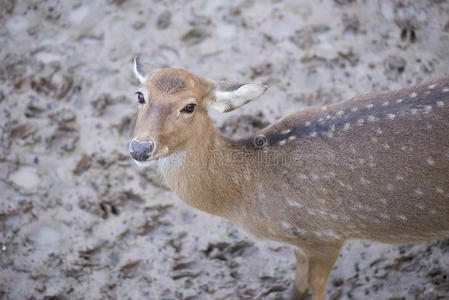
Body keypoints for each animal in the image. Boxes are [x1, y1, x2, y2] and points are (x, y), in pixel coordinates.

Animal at [129, 56, 448, 300]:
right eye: (140, 95)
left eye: (189, 106)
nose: (140, 148)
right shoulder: (300, 239)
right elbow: (298, 278)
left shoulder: (328, 234)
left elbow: (317, 289)